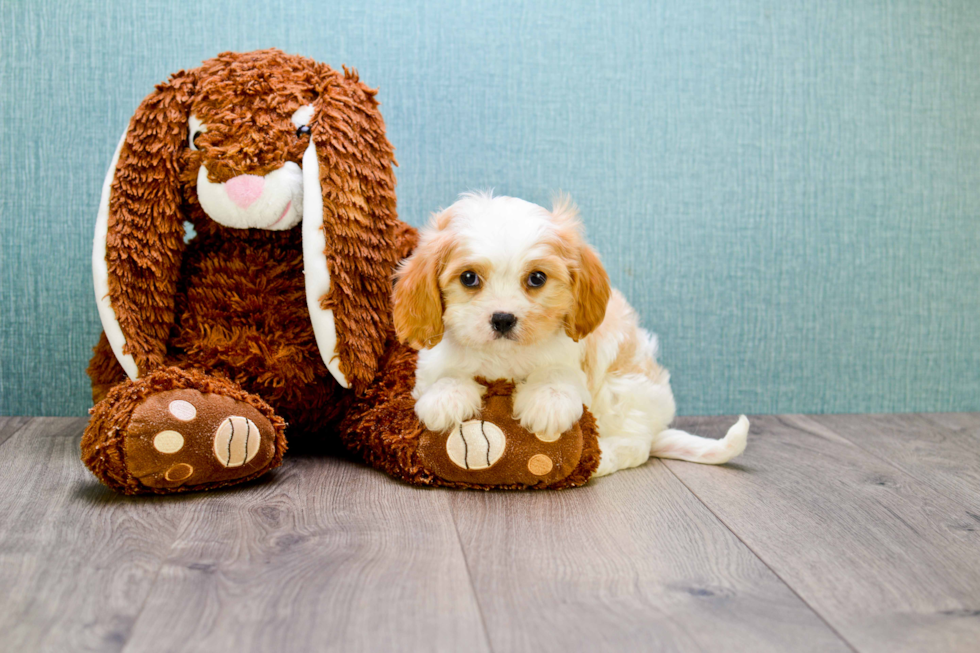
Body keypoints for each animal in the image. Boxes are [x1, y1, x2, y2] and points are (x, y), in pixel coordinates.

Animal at [394, 191, 748, 476]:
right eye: (469, 278)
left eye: (537, 278)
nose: (503, 319)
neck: (503, 357)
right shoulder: (431, 363)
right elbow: (445, 374)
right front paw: (447, 397)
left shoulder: (574, 361)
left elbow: (557, 373)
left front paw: (547, 404)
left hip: (624, 391)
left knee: (636, 446)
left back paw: (600, 461)